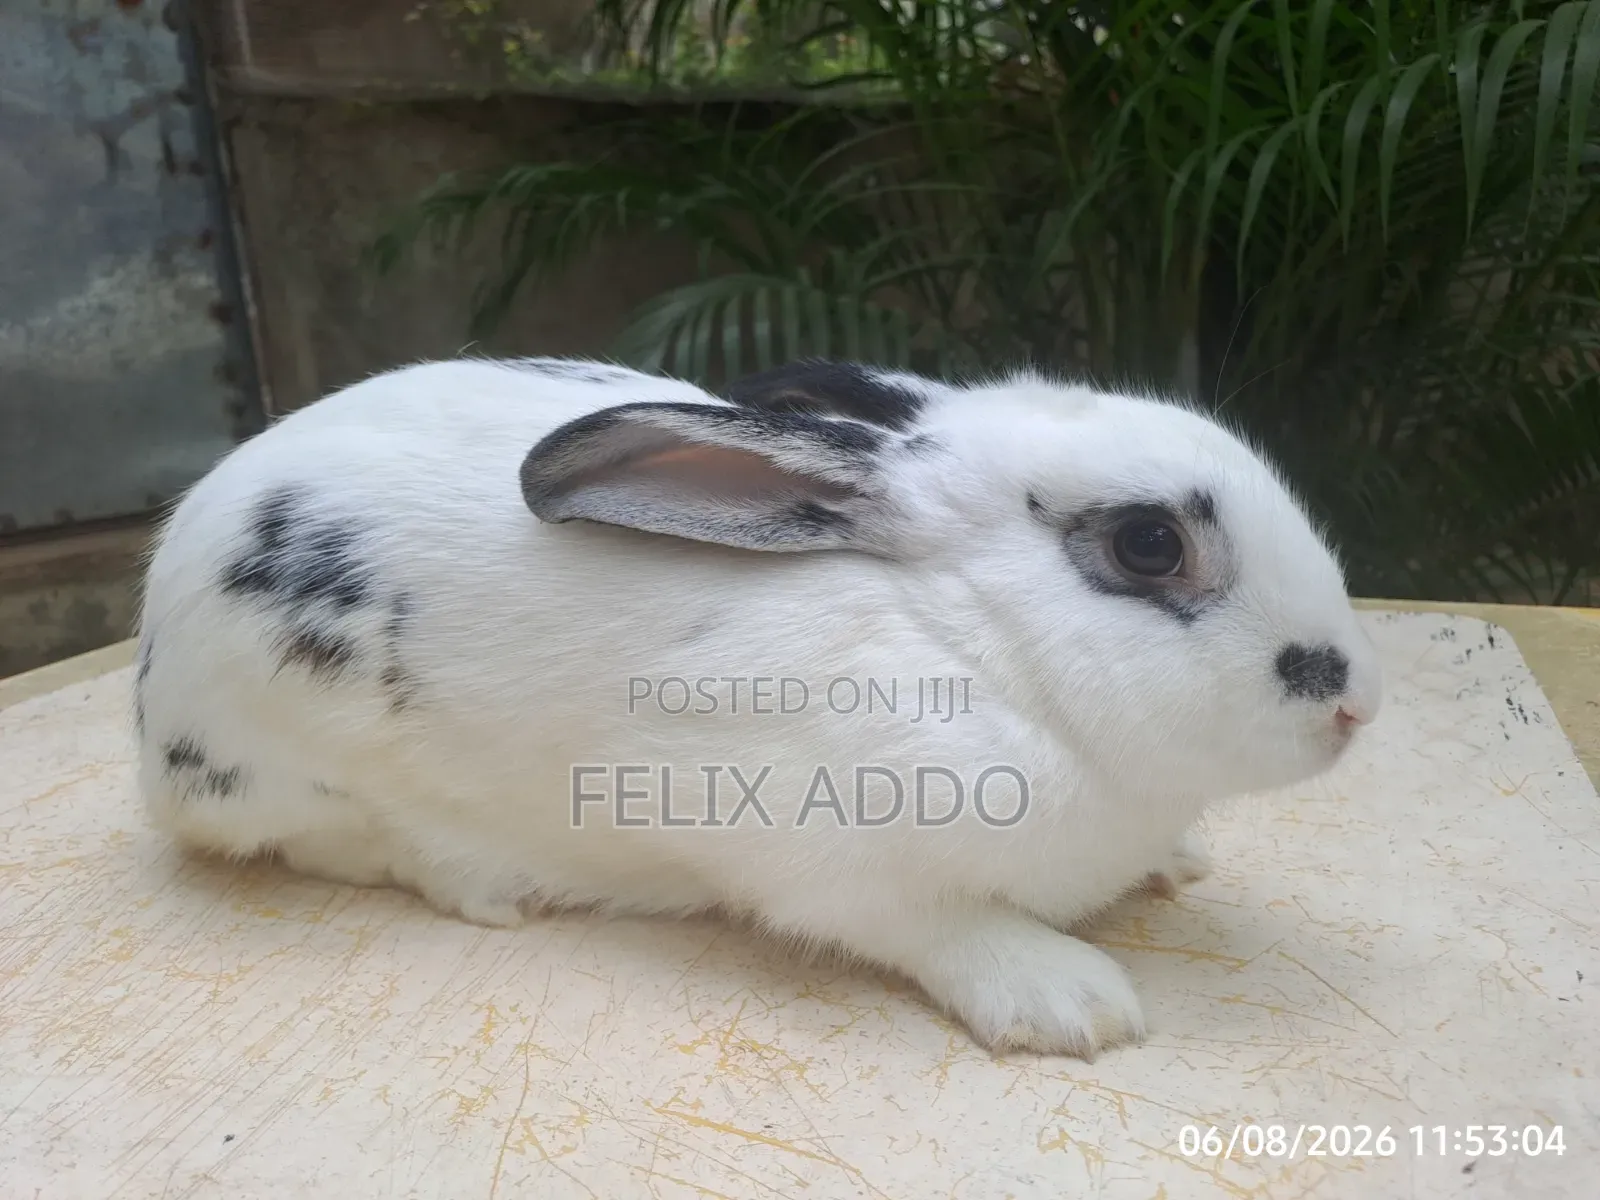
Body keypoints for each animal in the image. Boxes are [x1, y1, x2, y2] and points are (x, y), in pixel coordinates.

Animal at [134, 354, 1382, 1058]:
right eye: (1147, 544)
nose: (1357, 705)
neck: (974, 643)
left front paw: (1175, 864)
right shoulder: (825, 856)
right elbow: (939, 926)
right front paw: (1070, 1004)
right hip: (285, 770)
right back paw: (480, 887)